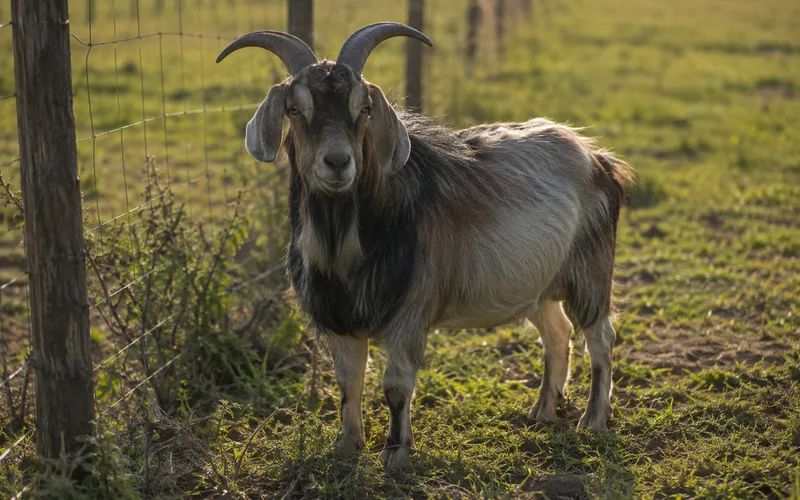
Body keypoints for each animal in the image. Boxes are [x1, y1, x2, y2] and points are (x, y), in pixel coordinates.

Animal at [217, 23, 633, 470]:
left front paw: (396, 453)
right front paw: (347, 446)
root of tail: (598, 159)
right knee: (557, 333)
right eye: (295, 109)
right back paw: (543, 411)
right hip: (537, 284)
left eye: (364, 108)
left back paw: (592, 420)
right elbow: (349, 383)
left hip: (590, 273)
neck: (345, 250)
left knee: (600, 338)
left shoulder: (409, 314)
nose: (337, 162)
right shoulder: (338, 321)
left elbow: (396, 385)